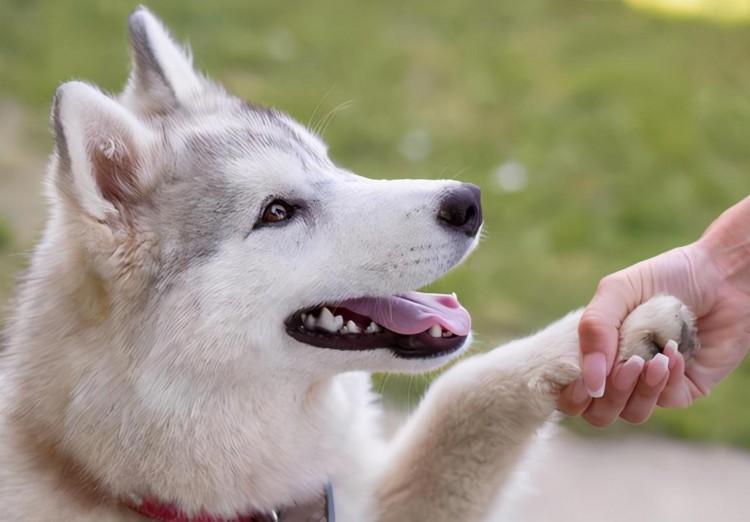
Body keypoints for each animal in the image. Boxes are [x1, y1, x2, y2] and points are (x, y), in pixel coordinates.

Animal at [0, 9, 700, 520]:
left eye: (329, 163)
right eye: (277, 212)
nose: (469, 202)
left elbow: (465, 387)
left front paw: (613, 328)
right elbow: (458, 390)